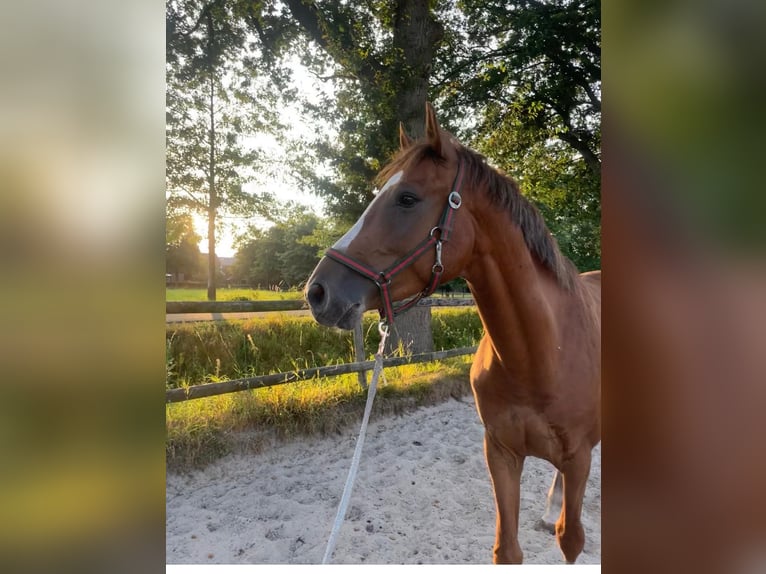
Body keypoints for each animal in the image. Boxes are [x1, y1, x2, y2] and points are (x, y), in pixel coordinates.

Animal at [304, 104, 600, 568]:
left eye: (407, 198)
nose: (317, 292)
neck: (542, 353)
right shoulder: (501, 454)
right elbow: (506, 550)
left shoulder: (578, 460)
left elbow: (571, 540)